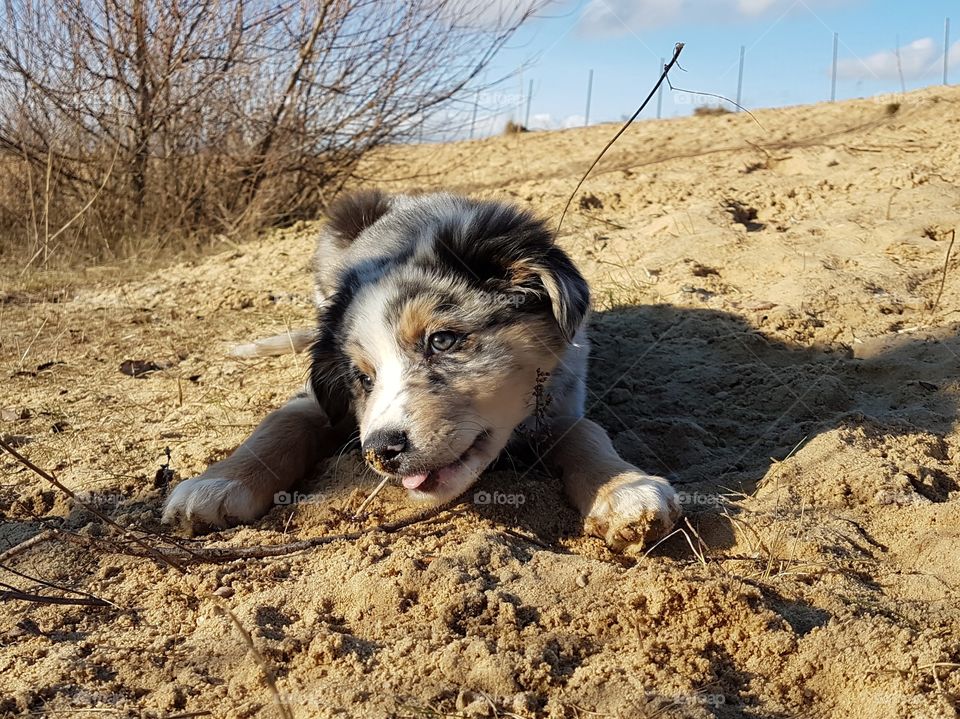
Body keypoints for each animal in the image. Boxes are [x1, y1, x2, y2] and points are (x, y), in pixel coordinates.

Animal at [161, 191, 680, 552]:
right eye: (363, 379)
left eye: (442, 341)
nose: (382, 452)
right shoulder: (315, 399)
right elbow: (279, 423)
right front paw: (218, 483)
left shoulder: (560, 398)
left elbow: (587, 432)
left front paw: (625, 489)